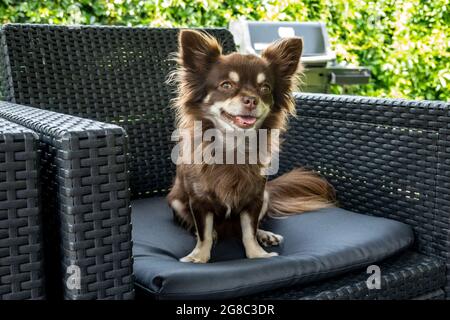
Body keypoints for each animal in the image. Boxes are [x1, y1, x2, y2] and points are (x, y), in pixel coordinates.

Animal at [166, 29, 334, 262]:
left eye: (265, 88)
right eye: (226, 85)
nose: (251, 100)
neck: (233, 145)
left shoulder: (254, 198)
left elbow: (248, 230)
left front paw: (257, 254)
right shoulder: (198, 201)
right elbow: (204, 232)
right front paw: (199, 257)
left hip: (266, 195)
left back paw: (265, 234)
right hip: (177, 200)